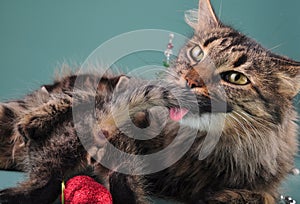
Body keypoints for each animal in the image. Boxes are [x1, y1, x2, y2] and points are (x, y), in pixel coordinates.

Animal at [0, 0, 300, 204]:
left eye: (235, 78)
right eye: (197, 53)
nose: (190, 80)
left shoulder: (262, 185)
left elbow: (260, 196)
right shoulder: (122, 95)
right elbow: (89, 99)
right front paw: (36, 120)